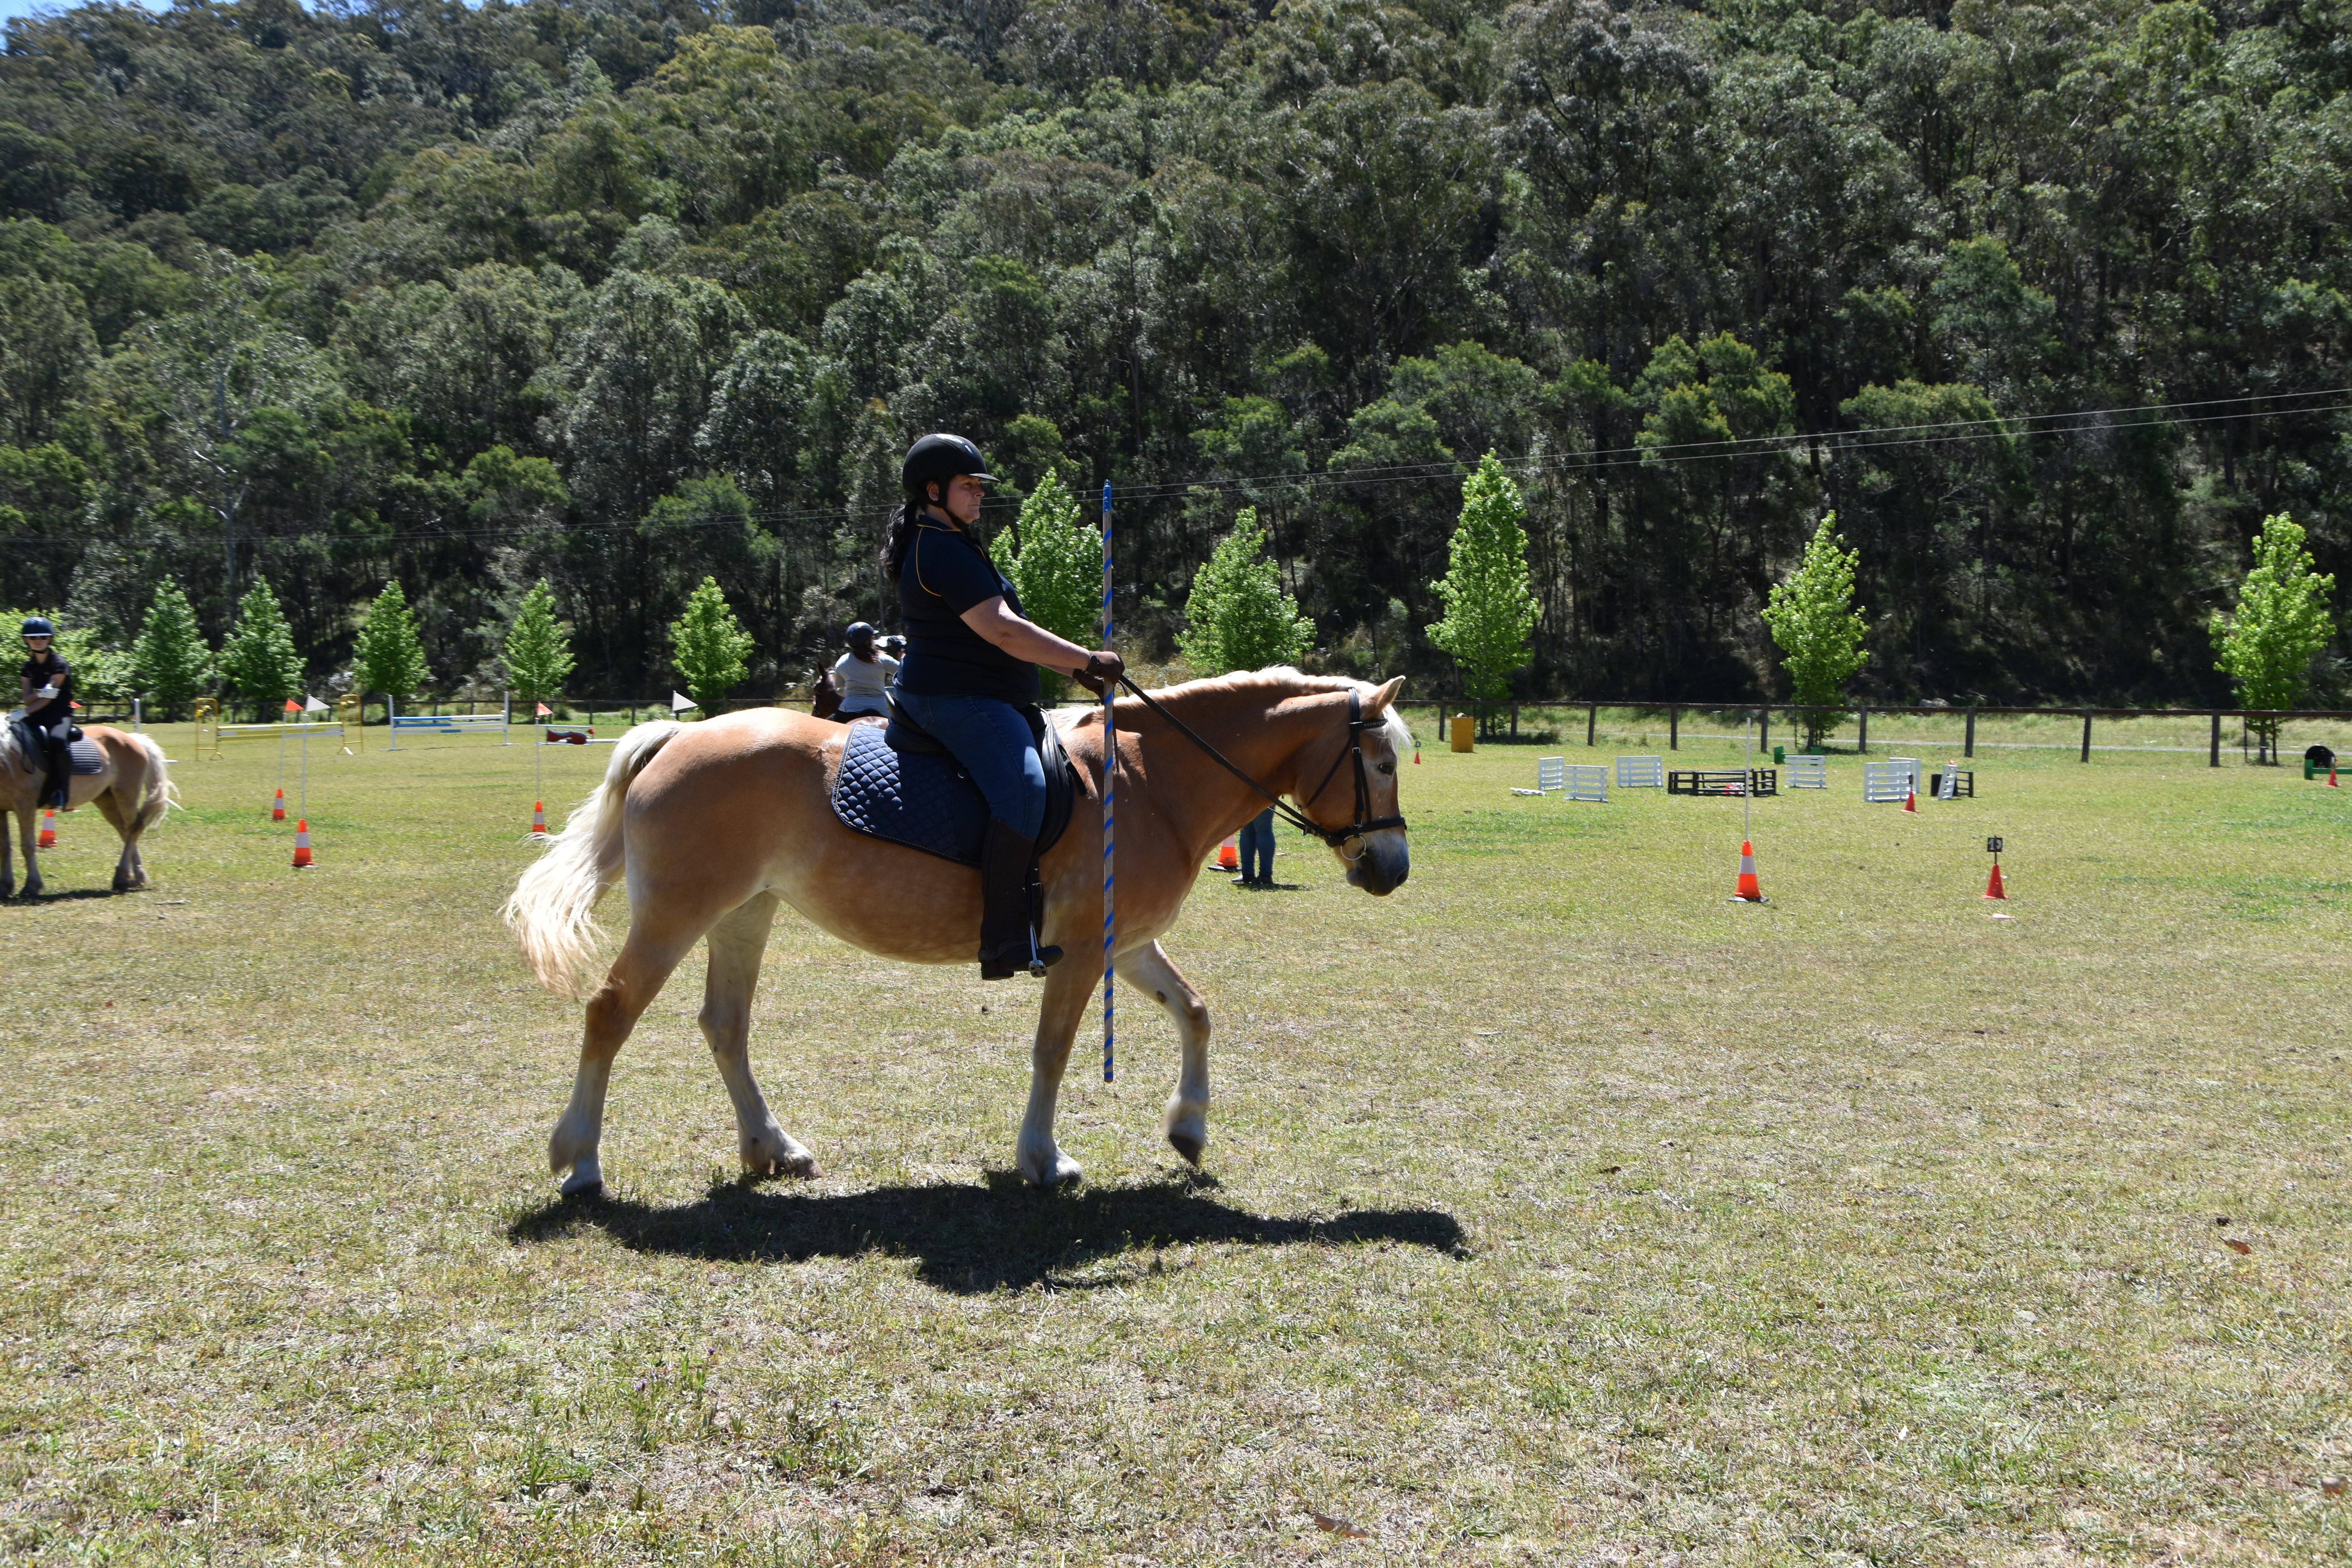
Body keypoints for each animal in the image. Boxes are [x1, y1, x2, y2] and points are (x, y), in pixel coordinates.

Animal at [0, 721, 175, 899]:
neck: (9, 758)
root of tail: (132, 739)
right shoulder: (2, 810)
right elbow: (5, 847)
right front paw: (6, 886)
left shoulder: (25, 805)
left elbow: (27, 846)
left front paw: (31, 886)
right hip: (106, 800)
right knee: (125, 831)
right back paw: (134, 877)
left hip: (126, 795)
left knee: (134, 830)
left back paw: (123, 875)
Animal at [503, 668, 1411, 1194]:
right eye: (1383, 763)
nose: (1393, 868)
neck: (1152, 783)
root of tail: (680, 734)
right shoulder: (1083, 954)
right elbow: (1053, 1052)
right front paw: (1044, 1158)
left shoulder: (1123, 944)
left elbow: (1194, 1010)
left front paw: (1187, 1128)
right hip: (677, 913)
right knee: (610, 1013)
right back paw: (580, 1162)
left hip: (742, 914)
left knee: (725, 1025)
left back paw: (773, 1146)